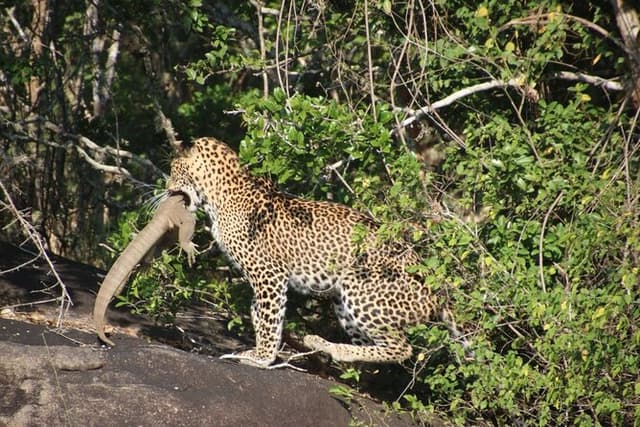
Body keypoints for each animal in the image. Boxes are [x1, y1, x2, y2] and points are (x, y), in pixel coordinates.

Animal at [166, 136, 442, 368]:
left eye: (173, 169)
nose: (167, 188)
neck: (217, 196)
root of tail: (435, 288)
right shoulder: (266, 279)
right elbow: (260, 312)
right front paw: (261, 349)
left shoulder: (269, 274)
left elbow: (269, 318)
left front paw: (262, 357)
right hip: (344, 304)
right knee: (373, 343)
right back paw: (326, 346)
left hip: (360, 286)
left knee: (402, 348)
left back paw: (333, 348)